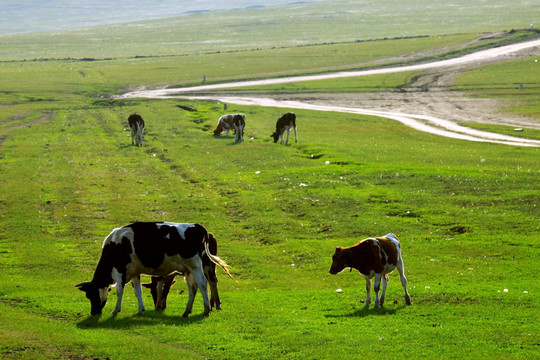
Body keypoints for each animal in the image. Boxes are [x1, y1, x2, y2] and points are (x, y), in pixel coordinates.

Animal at [76, 222, 234, 318]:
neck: (114, 245)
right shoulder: (134, 272)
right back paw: (187, 311)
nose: (94, 312)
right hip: (189, 270)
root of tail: (198, 226)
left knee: (203, 284)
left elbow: (120, 291)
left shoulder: (120, 270)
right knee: (193, 288)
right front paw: (141, 310)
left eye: (91, 296)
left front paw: (116, 310)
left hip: (196, 265)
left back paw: (207, 309)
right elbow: (137, 291)